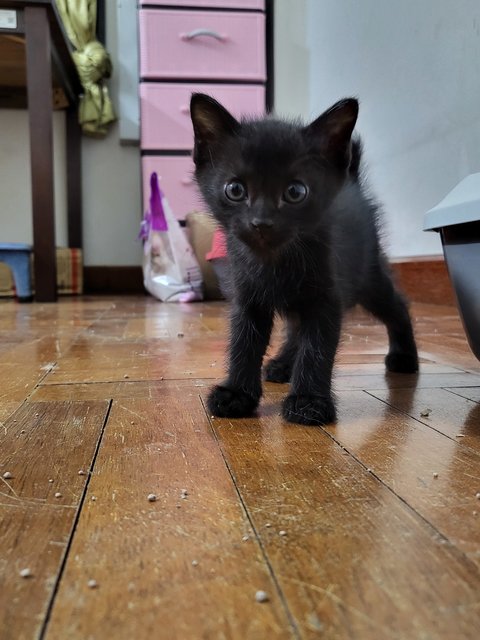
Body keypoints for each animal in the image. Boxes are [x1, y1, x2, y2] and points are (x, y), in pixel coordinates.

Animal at [189, 94, 418, 424]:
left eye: (295, 191)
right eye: (235, 189)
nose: (261, 222)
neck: (273, 262)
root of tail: (352, 182)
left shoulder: (326, 297)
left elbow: (317, 347)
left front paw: (309, 401)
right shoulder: (247, 297)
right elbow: (244, 343)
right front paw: (237, 394)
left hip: (368, 275)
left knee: (396, 306)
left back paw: (405, 356)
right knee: (296, 328)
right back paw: (283, 364)